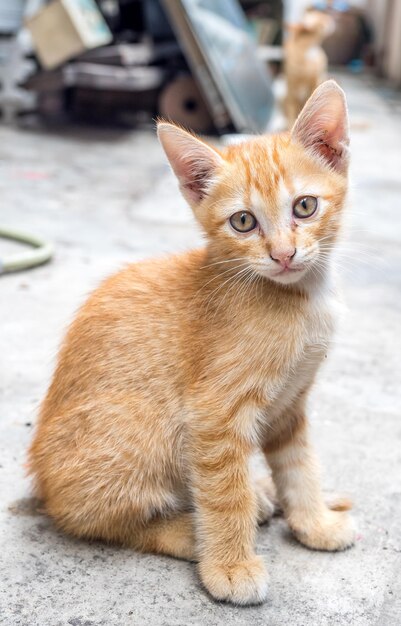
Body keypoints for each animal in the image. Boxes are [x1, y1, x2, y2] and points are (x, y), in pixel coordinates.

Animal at [28, 80, 354, 604]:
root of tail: (41, 482)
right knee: (89, 520)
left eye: (305, 206)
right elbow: (224, 492)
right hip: (137, 427)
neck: (299, 297)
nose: (284, 255)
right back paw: (190, 532)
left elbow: (300, 466)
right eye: (243, 222)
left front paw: (315, 523)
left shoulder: (290, 404)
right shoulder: (213, 413)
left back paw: (261, 493)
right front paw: (230, 566)